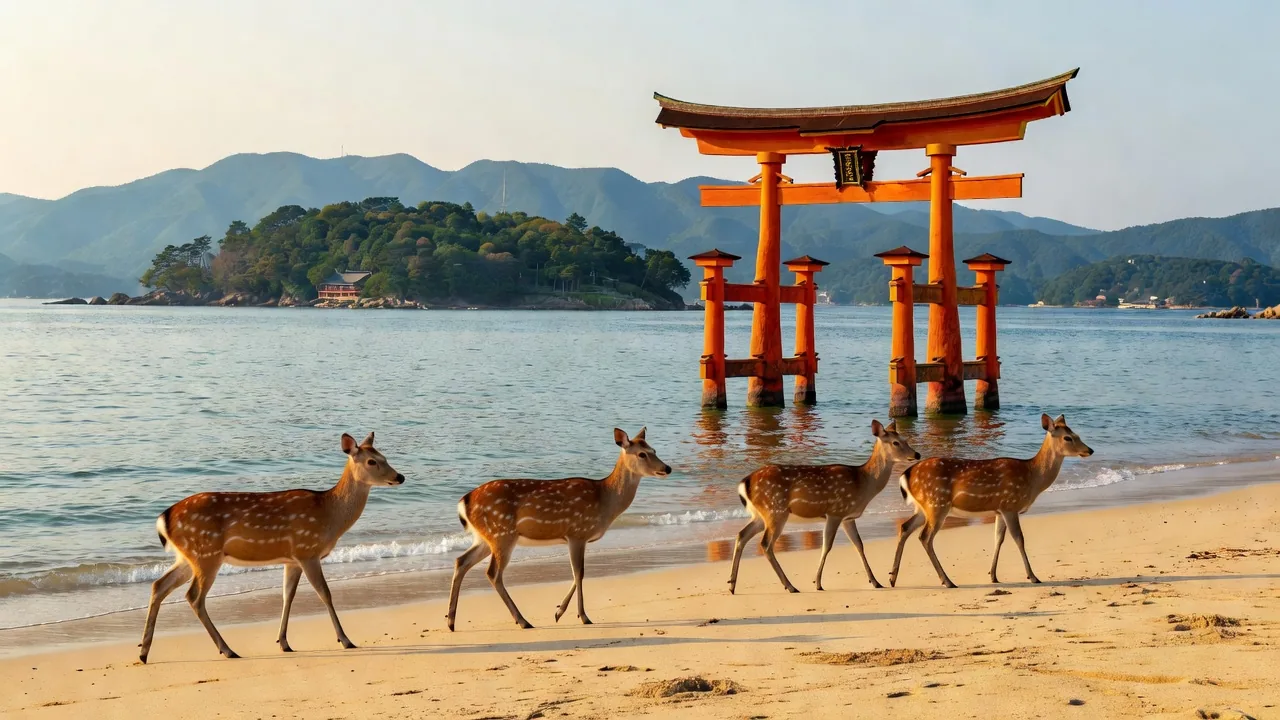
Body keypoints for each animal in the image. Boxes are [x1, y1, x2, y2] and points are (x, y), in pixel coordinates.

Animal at [138, 432, 404, 663]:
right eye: (372, 461)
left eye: (384, 456)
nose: (400, 476)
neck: (330, 515)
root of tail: (164, 519)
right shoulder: (307, 549)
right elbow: (325, 593)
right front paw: (345, 640)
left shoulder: (291, 559)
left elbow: (287, 596)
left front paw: (284, 642)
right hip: (206, 553)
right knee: (193, 596)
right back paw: (227, 649)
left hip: (187, 556)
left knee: (159, 585)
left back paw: (143, 652)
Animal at [446, 427, 671, 631]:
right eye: (642, 454)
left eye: (654, 449)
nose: (667, 468)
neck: (605, 500)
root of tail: (464, 502)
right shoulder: (577, 532)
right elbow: (579, 573)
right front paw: (581, 616)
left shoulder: (575, 537)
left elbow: (577, 573)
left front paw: (560, 612)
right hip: (502, 533)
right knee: (493, 573)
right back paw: (523, 621)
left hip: (485, 537)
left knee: (461, 561)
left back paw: (451, 621)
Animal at [727, 419, 921, 595]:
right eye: (896, 442)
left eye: (905, 439)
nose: (917, 454)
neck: (864, 482)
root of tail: (745, 483)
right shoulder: (835, 512)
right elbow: (826, 546)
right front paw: (818, 583)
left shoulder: (848, 517)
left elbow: (859, 545)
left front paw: (875, 582)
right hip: (775, 511)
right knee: (765, 544)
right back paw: (790, 586)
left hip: (760, 515)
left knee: (741, 535)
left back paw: (732, 584)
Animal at [889, 414, 1093, 589]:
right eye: (1068, 437)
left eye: (1077, 434)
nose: (1089, 450)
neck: (1032, 476)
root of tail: (906, 474)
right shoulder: (1010, 504)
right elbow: (1019, 538)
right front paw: (1033, 576)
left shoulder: (999, 509)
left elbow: (998, 539)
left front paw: (993, 575)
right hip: (937, 503)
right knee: (925, 537)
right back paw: (947, 581)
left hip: (923, 507)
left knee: (905, 527)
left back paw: (892, 578)